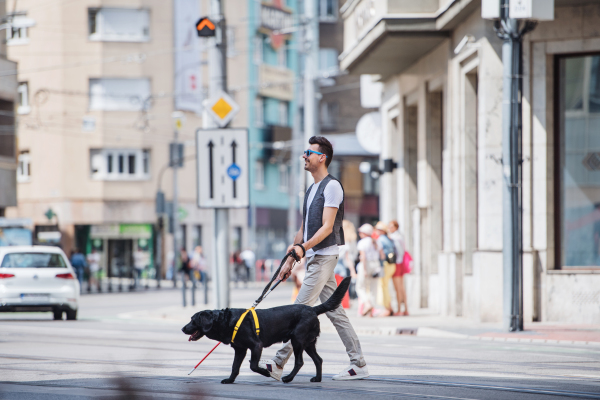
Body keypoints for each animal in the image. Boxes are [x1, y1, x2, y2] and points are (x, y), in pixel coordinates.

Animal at [183, 276, 352, 382]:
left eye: (192, 320)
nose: (183, 329)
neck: (227, 321)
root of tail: (312, 309)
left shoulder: (256, 346)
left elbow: (253, 365)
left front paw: (265, 372)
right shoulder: (240, 349)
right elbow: (234, 367)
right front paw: (230, 380)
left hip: (297, 340)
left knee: (300, 362)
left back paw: (288, 378)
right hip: (308, 343)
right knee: (318, 359)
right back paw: (317, 379)